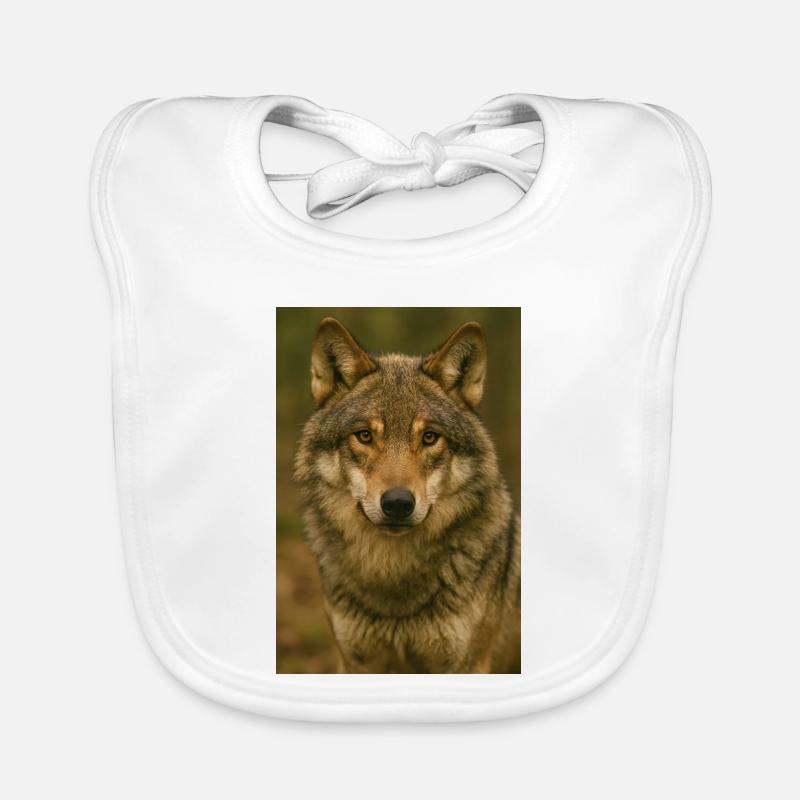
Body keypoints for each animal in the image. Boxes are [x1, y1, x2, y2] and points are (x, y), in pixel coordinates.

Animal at [294, 317, 520, 673]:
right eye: (364, 435)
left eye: (429, 437)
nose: (398, 503)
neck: (393, 579)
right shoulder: (356, 662)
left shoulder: (467, 664)